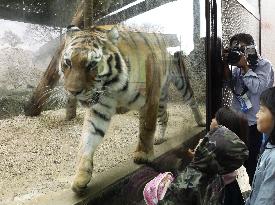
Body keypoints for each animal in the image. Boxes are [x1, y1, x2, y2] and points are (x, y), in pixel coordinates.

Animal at [59, 24, 206, 193]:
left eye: (92, 65)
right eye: (68, 62)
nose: (72, 91)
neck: (112, 86)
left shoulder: (150, 99)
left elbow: (146, 128)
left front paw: (143, 154)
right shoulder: (99, 109)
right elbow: (87, 140)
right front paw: (80, 177)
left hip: (180, 82)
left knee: (192, 101)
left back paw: (201, 121)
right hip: (161, 99)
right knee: (165, 115)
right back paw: (159, 137)